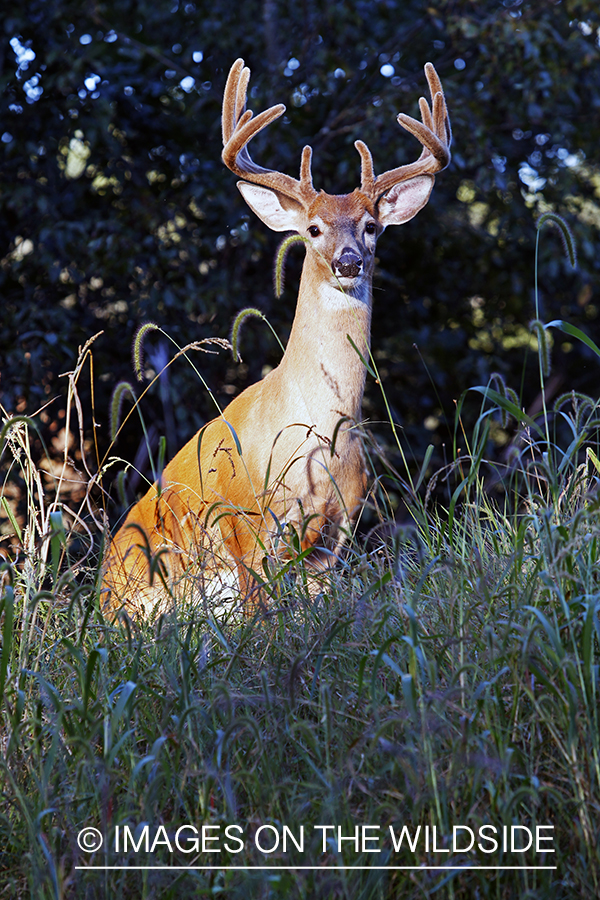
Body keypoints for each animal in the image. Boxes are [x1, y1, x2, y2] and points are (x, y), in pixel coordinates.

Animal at [103, 58, 450, 620]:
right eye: (313, 229)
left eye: (371, 226)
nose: (348, 261)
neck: (318, 431)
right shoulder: (243, 518)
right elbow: (260, 618)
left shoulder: (335, 531)